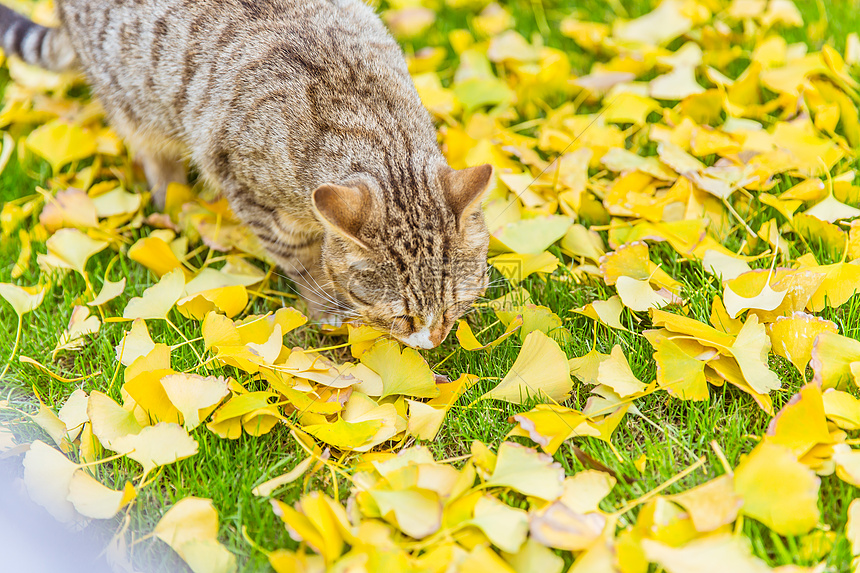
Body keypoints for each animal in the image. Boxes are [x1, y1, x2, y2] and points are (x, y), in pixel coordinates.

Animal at [0, 1, 494, 348]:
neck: (370, 121)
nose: (434, 340)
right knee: (154, 155)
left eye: (455, 305)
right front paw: (325, 309)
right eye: (402, 318)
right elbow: (304, 262)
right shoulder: (252, 193)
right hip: (135, 103)